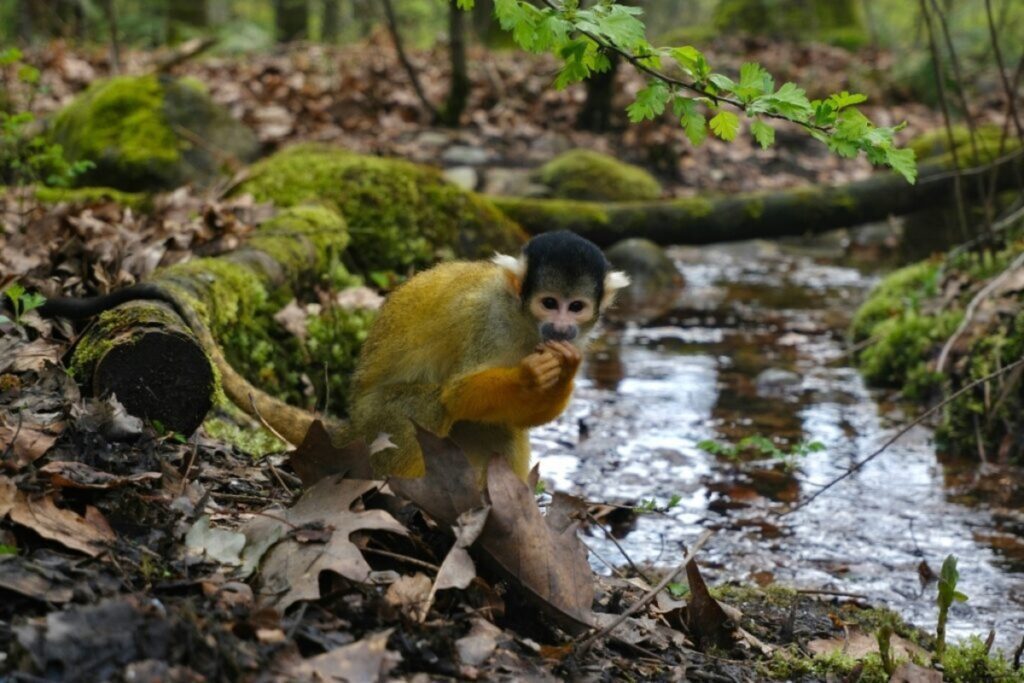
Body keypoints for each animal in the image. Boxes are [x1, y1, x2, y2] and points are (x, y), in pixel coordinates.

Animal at [30, 230, 629, 484]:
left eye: (576, 306)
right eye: (549, 301)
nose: (561, 324)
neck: (525, 322)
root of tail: (350, 424)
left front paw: (563, 371)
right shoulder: (491, 320)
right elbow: (461, 391)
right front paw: (533, 373)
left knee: (495, 430)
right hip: (377, 422)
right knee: (427, 409)